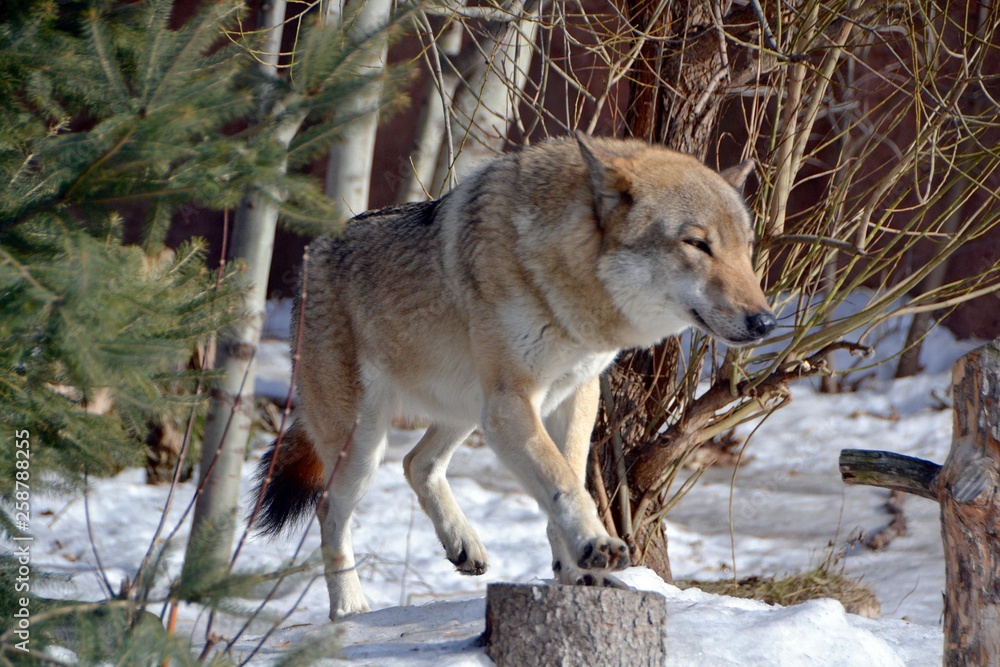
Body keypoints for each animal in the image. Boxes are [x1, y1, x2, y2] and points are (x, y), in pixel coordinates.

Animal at [251, 134, 776, 620]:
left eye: (746, 248)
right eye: (697, 243)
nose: (765, 322)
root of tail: (311, 254)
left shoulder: (575, 394)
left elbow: (568, 477)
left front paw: (577, 571)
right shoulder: (514, 400)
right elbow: (563, 480)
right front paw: (595, 545)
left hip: (468, 410)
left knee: (417, 463)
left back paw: (463, 545)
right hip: (366, 442)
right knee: (330, 509)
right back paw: (350, 608)